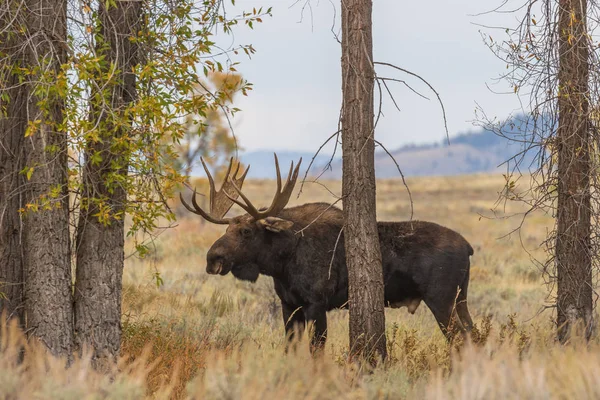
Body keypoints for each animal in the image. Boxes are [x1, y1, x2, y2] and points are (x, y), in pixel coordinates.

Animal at [182, 155, 474, 350]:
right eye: (227, 228)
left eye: (245, 231)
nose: (212, 259)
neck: (282, 262)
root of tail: (469, 248)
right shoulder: (288, 304)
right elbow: (291, 348)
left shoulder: (316, 303)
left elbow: (317, 348)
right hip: (461, 299)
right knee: (474, 335)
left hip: (441, 299)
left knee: (460, 339)